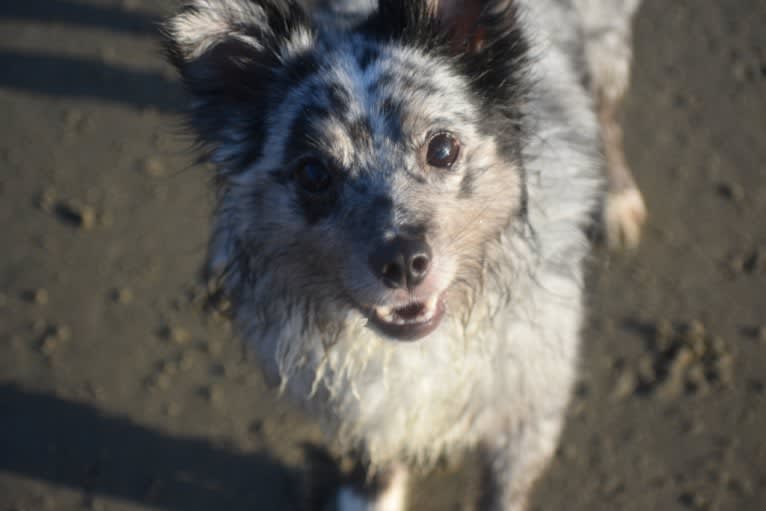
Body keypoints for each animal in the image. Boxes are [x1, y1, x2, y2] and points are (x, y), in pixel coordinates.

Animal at [164, 1, 648, 511]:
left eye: (442, 148)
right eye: (313, 173)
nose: (401, 263)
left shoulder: (528, 407)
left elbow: (504, 491)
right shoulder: (359, 402)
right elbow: (373, 460)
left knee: (608, 114)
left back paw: (617, 199)